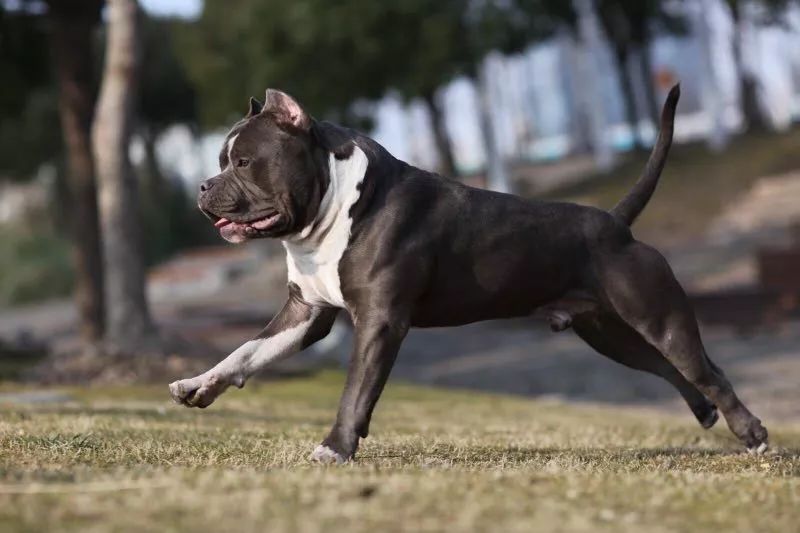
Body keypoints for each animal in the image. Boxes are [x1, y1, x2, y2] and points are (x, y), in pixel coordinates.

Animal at [169, 85, 768, 460]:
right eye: (221, 162)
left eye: (243, 163)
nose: (202, 185)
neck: (333, 206)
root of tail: (616, 222)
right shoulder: (304, 314)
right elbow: (245, 351)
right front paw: (201, 383)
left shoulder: (380, 322)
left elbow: (356, 391)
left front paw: (335, 447)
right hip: (611, 334)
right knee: (677, 369)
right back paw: (708, 415)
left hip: (657, 317)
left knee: (706, 369)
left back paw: (753, 434)